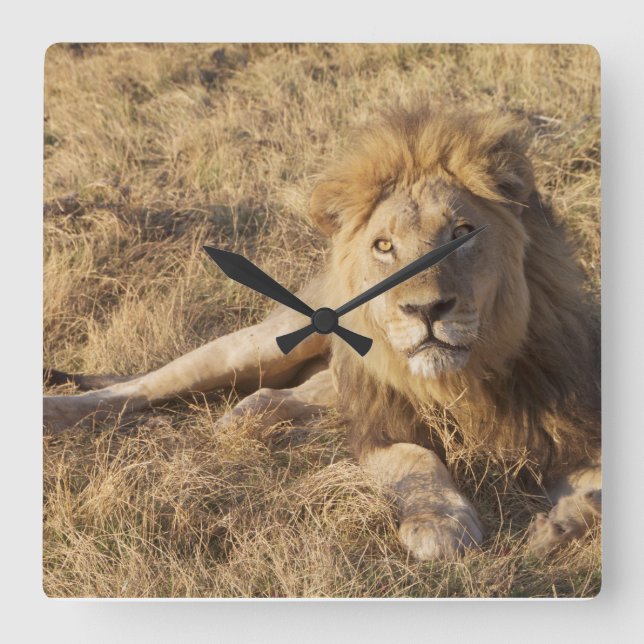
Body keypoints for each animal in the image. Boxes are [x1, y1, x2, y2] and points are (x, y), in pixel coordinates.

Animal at [44, 104, 601, 560]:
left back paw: (243, 421)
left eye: (462, 233)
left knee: (279, 394)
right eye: (384, 246)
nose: (425, 309)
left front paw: (554, 528)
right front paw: (439, 523)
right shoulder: (380, 429)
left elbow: (596, 492)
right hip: (262, 344)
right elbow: (417, 460)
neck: (462, 380)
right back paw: (57, 411)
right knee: (138, 387)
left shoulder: (577, 421)